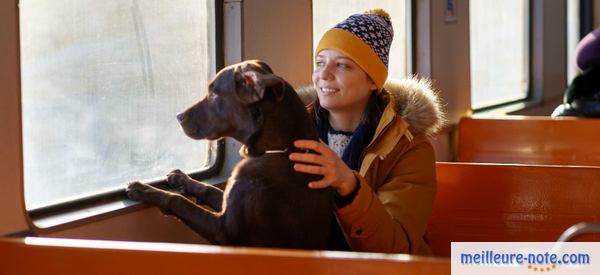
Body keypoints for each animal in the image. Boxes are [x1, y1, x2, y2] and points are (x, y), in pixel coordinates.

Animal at [127, 60, 336, 250]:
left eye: (214, 94)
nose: (178, 116)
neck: (278, 151)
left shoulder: (223, 230)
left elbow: (178, 200)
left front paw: (143, 189)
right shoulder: (227, 199)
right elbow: (208, 188)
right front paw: (180, 178)